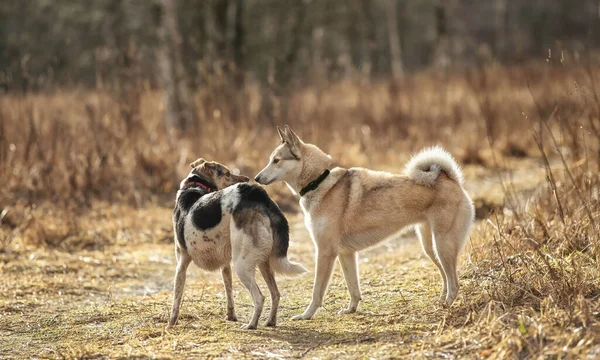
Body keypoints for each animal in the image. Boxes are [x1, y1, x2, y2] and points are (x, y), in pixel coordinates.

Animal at [171, 158, 308, 330]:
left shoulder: (181, 264)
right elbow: (229, 293)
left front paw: (170, 325)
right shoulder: (225, 266)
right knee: (275, 294)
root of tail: (260, 196)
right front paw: (231, 317)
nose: (247, 178)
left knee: (260, 297)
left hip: (242, 265)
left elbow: (176, 299)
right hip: (263, 263)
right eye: (228, 173)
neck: (196, 185)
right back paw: (270, 322)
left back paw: (251, 325)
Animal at [253, 126, 474, 320]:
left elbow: (317, 292)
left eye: (276, 160)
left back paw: (447, 305)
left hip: (442, 245)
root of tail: (451, 180)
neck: (319, 181)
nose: (256, 178)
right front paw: (350, 310)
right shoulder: (346, 254)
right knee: (446, 277)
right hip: (430, 247)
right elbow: (353, 288)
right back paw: (440, 302)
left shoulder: (325, 252)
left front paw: (306, 315)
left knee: (454, 282)